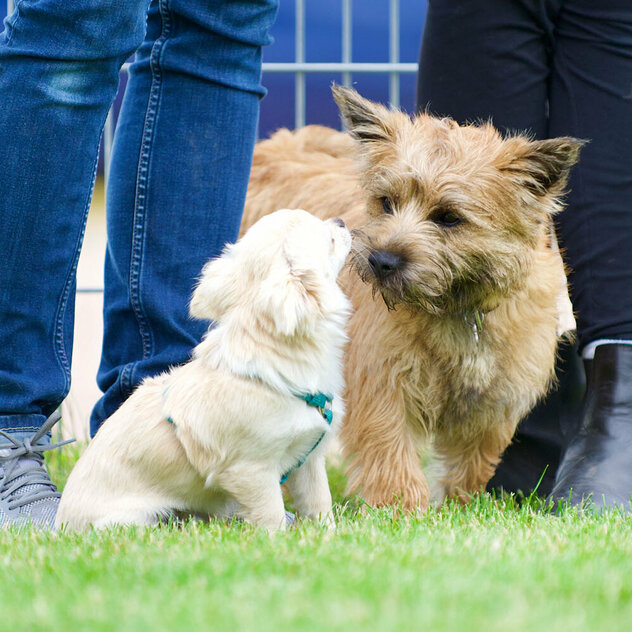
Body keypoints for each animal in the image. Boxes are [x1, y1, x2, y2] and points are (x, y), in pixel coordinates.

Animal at [55, 210, 350, 532]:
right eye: (330, 240)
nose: (341, 221)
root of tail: (61, 526)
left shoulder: (308, 459)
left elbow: (319, 504)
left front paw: (327, 536)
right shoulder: (251, 470)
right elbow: (271, 515)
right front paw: (278, 540)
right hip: (134, 518)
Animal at [243, 86, 584, 512]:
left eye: (450, 217)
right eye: (387, 202)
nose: (381, 260)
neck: (457, 308)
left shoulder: (494, 402)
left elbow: (472, 461)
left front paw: (460, 506)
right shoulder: (383, 383)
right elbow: (391, 449)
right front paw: (403, 510)